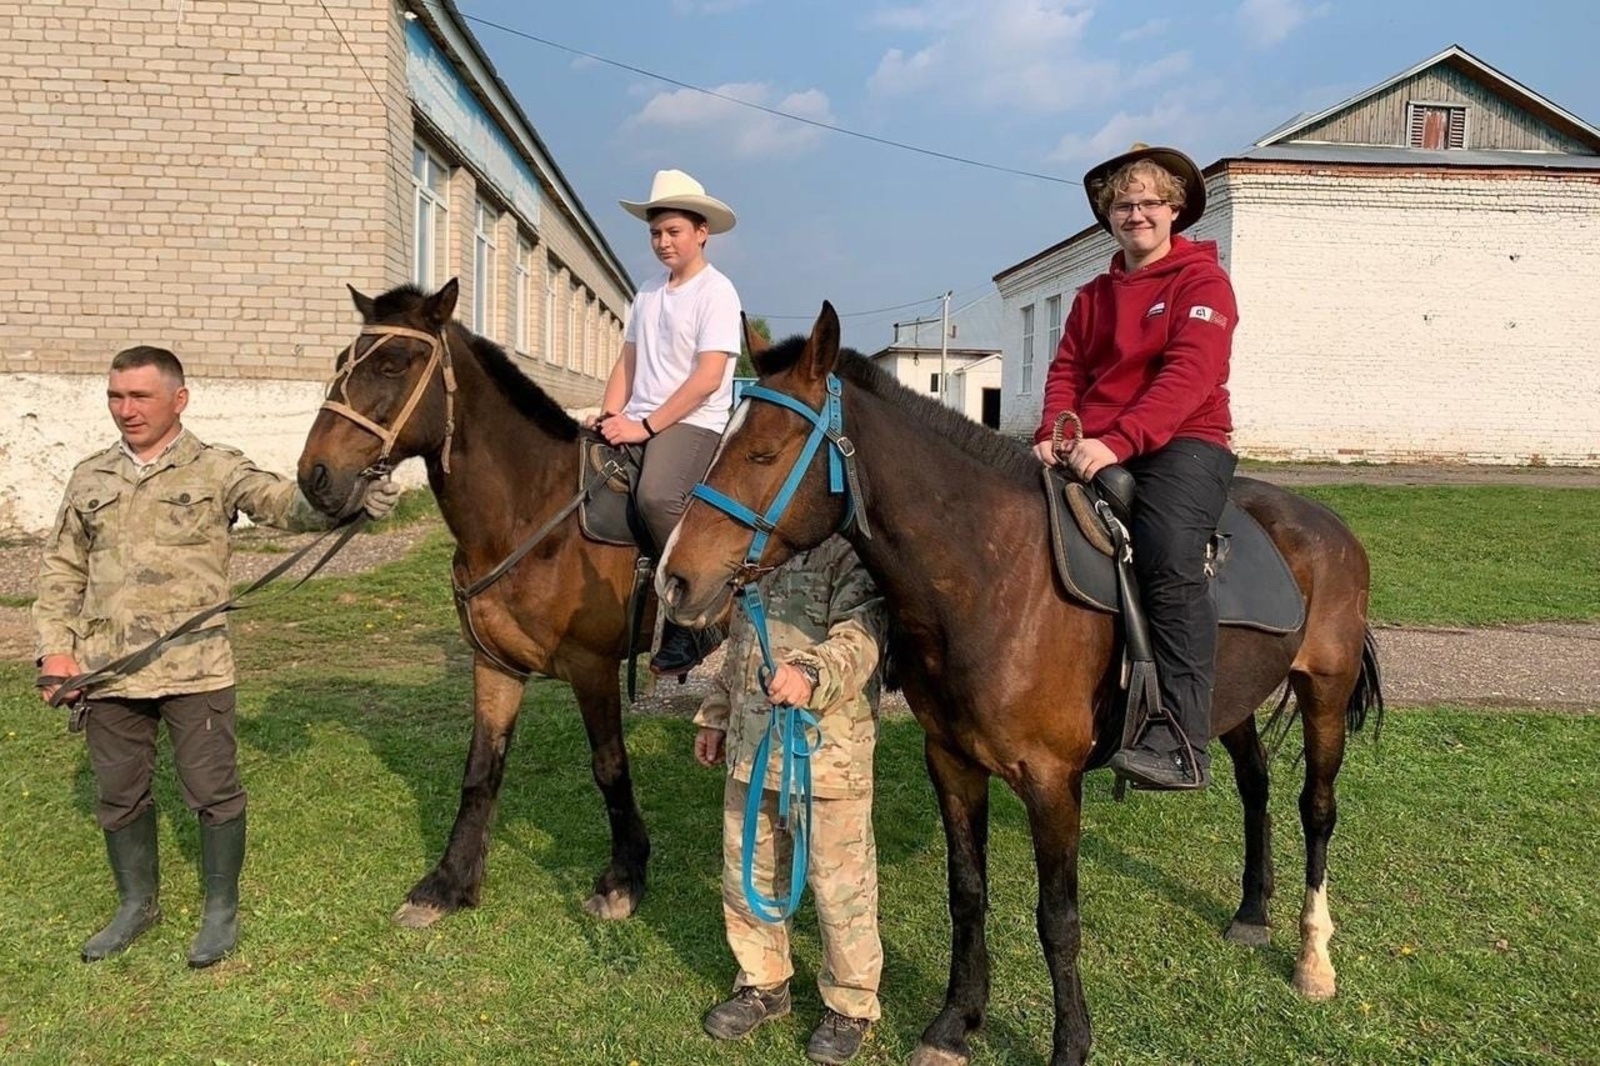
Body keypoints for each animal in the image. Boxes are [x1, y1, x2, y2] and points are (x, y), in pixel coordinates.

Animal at [297, 280, 646, 921]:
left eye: (393, 364)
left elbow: (609, 767)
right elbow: (481, 769)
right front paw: (448, 882)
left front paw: (624, 878)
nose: (316, 476)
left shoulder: (594, 668)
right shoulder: (494, 663)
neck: (535, 514)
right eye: (340, 363)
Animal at [656, 302, 1382, 1056]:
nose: (672, 580)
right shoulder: (952, 761)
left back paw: (1313, 958)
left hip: (1325, 693)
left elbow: (1057, 918)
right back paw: (1250, 912)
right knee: (1255, 785)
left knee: (1316, 809)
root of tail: (1327, 527)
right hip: (1228, 704)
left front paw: (1069, 1044)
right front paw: (956, 1021)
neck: (996, 576)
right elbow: (967, 893)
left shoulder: (1051, 782)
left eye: (764, 454)